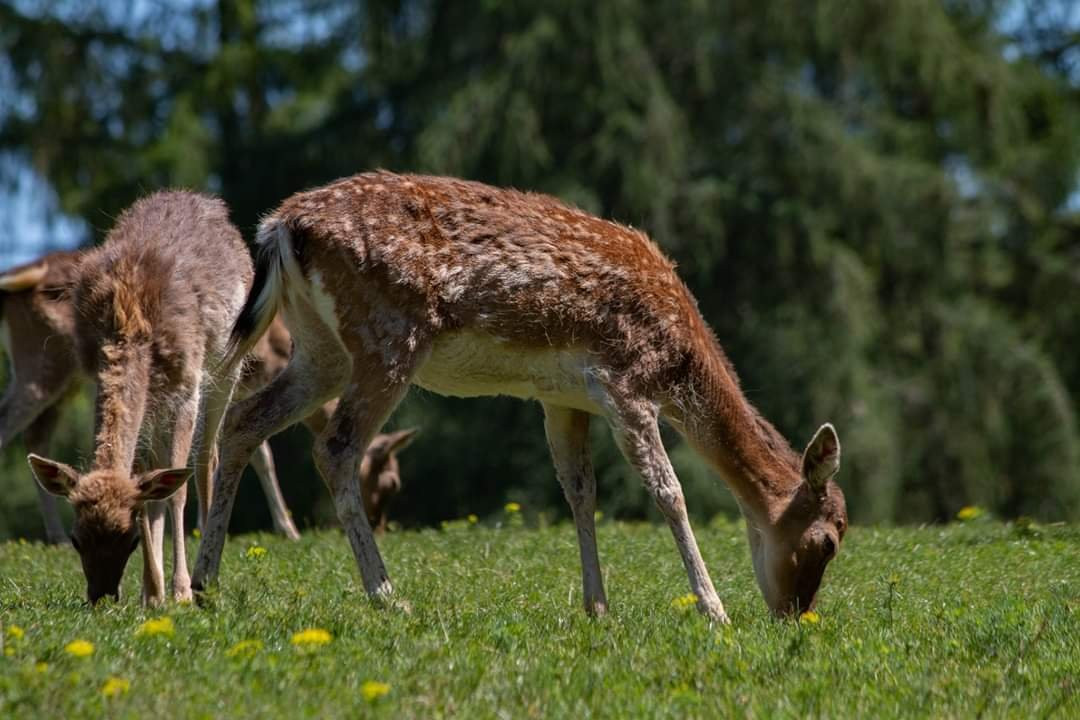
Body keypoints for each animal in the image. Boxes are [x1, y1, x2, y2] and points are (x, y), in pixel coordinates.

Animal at [1, 253, 416, 546]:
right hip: (44, 366)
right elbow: (224, 450)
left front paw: (283, 528)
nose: (381, 526)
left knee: (36, 436)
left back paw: (56, 537)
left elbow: (257, 453)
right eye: (393, 482)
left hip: (63, 377)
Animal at [196, 171, 851, 621]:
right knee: (335, 449)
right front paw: (714, 610)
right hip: (388, 338)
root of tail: (279, 227)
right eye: (828, 539)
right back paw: (387, 596)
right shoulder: (626, 384)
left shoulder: (563, 399)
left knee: (244, 422)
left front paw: (597, 608)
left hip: (320, 348)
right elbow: (670, 492)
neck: (678, 358)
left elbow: (580, 493)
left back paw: (204, 585)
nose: (794, 614)